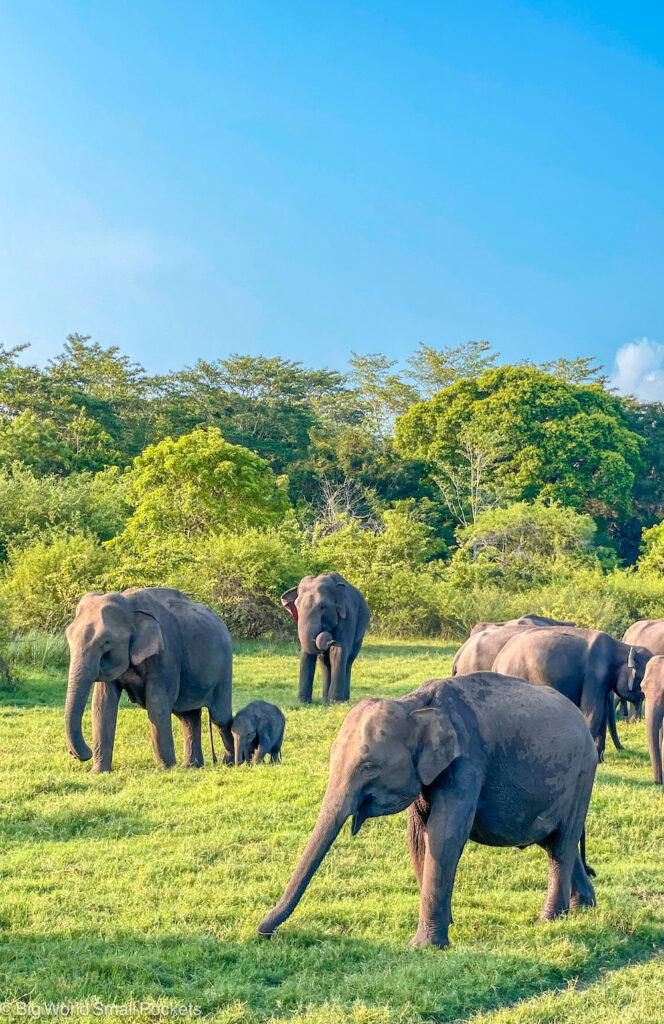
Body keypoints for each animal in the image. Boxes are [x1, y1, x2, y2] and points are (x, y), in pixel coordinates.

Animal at [64, 589, 234, 770]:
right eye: (69, 638)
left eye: (106, 642)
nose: (74, 754)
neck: (129, 606)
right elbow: (102, 705)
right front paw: (98, 772)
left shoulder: (166, 653)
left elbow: (156, 704)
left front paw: (166, 770)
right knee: (188, 717)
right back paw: (190, 767)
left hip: (224, 667)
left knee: (219, 718)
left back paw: (231, 763)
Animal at [258, 671, 598, 950]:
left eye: (368, 766)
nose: (263, 932)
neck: (413, 703)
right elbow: (418, 837)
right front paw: (445, 928)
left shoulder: (467, 763)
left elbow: (443, 835)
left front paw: (423, 947)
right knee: (555, 842)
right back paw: (583, 908)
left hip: (582, 776)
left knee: (561, 845)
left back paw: (548, 921)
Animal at [280, 573, 370, 708]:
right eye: (297, 606)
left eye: (322, 607)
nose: (327, 634)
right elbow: (306, 654)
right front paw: (303, 702)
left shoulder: (349, 617)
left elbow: (337, 652)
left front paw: (335, 703)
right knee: (324, 662)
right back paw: (325, 701)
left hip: (360, 633)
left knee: (348, 660)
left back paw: (341, 700)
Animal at [489, 622, 651, 761]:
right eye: (643, 688)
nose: (623, 749)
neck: (624, 647)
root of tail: (498, 659)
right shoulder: (595, 675)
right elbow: (593, 711)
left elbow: (602, 713)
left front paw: (600, 761)